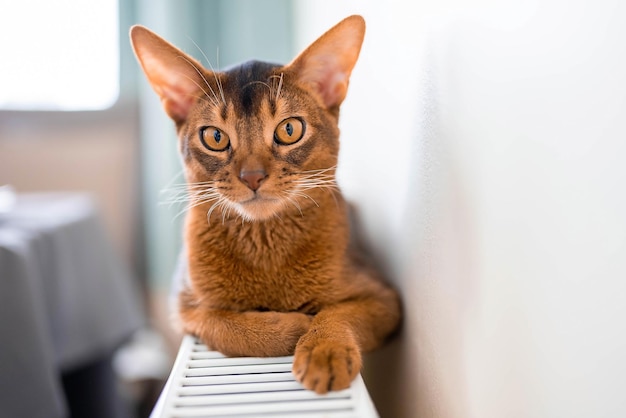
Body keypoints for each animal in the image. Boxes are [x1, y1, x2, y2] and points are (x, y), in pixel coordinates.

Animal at [130, 15, 400, 396]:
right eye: (215, 137)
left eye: (289, 130)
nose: (253, 177)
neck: (265, 250)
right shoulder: (185, 308)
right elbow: (230, 327)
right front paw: (297, 325)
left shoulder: (384, 299)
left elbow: (337, 312)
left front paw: (324, 350)